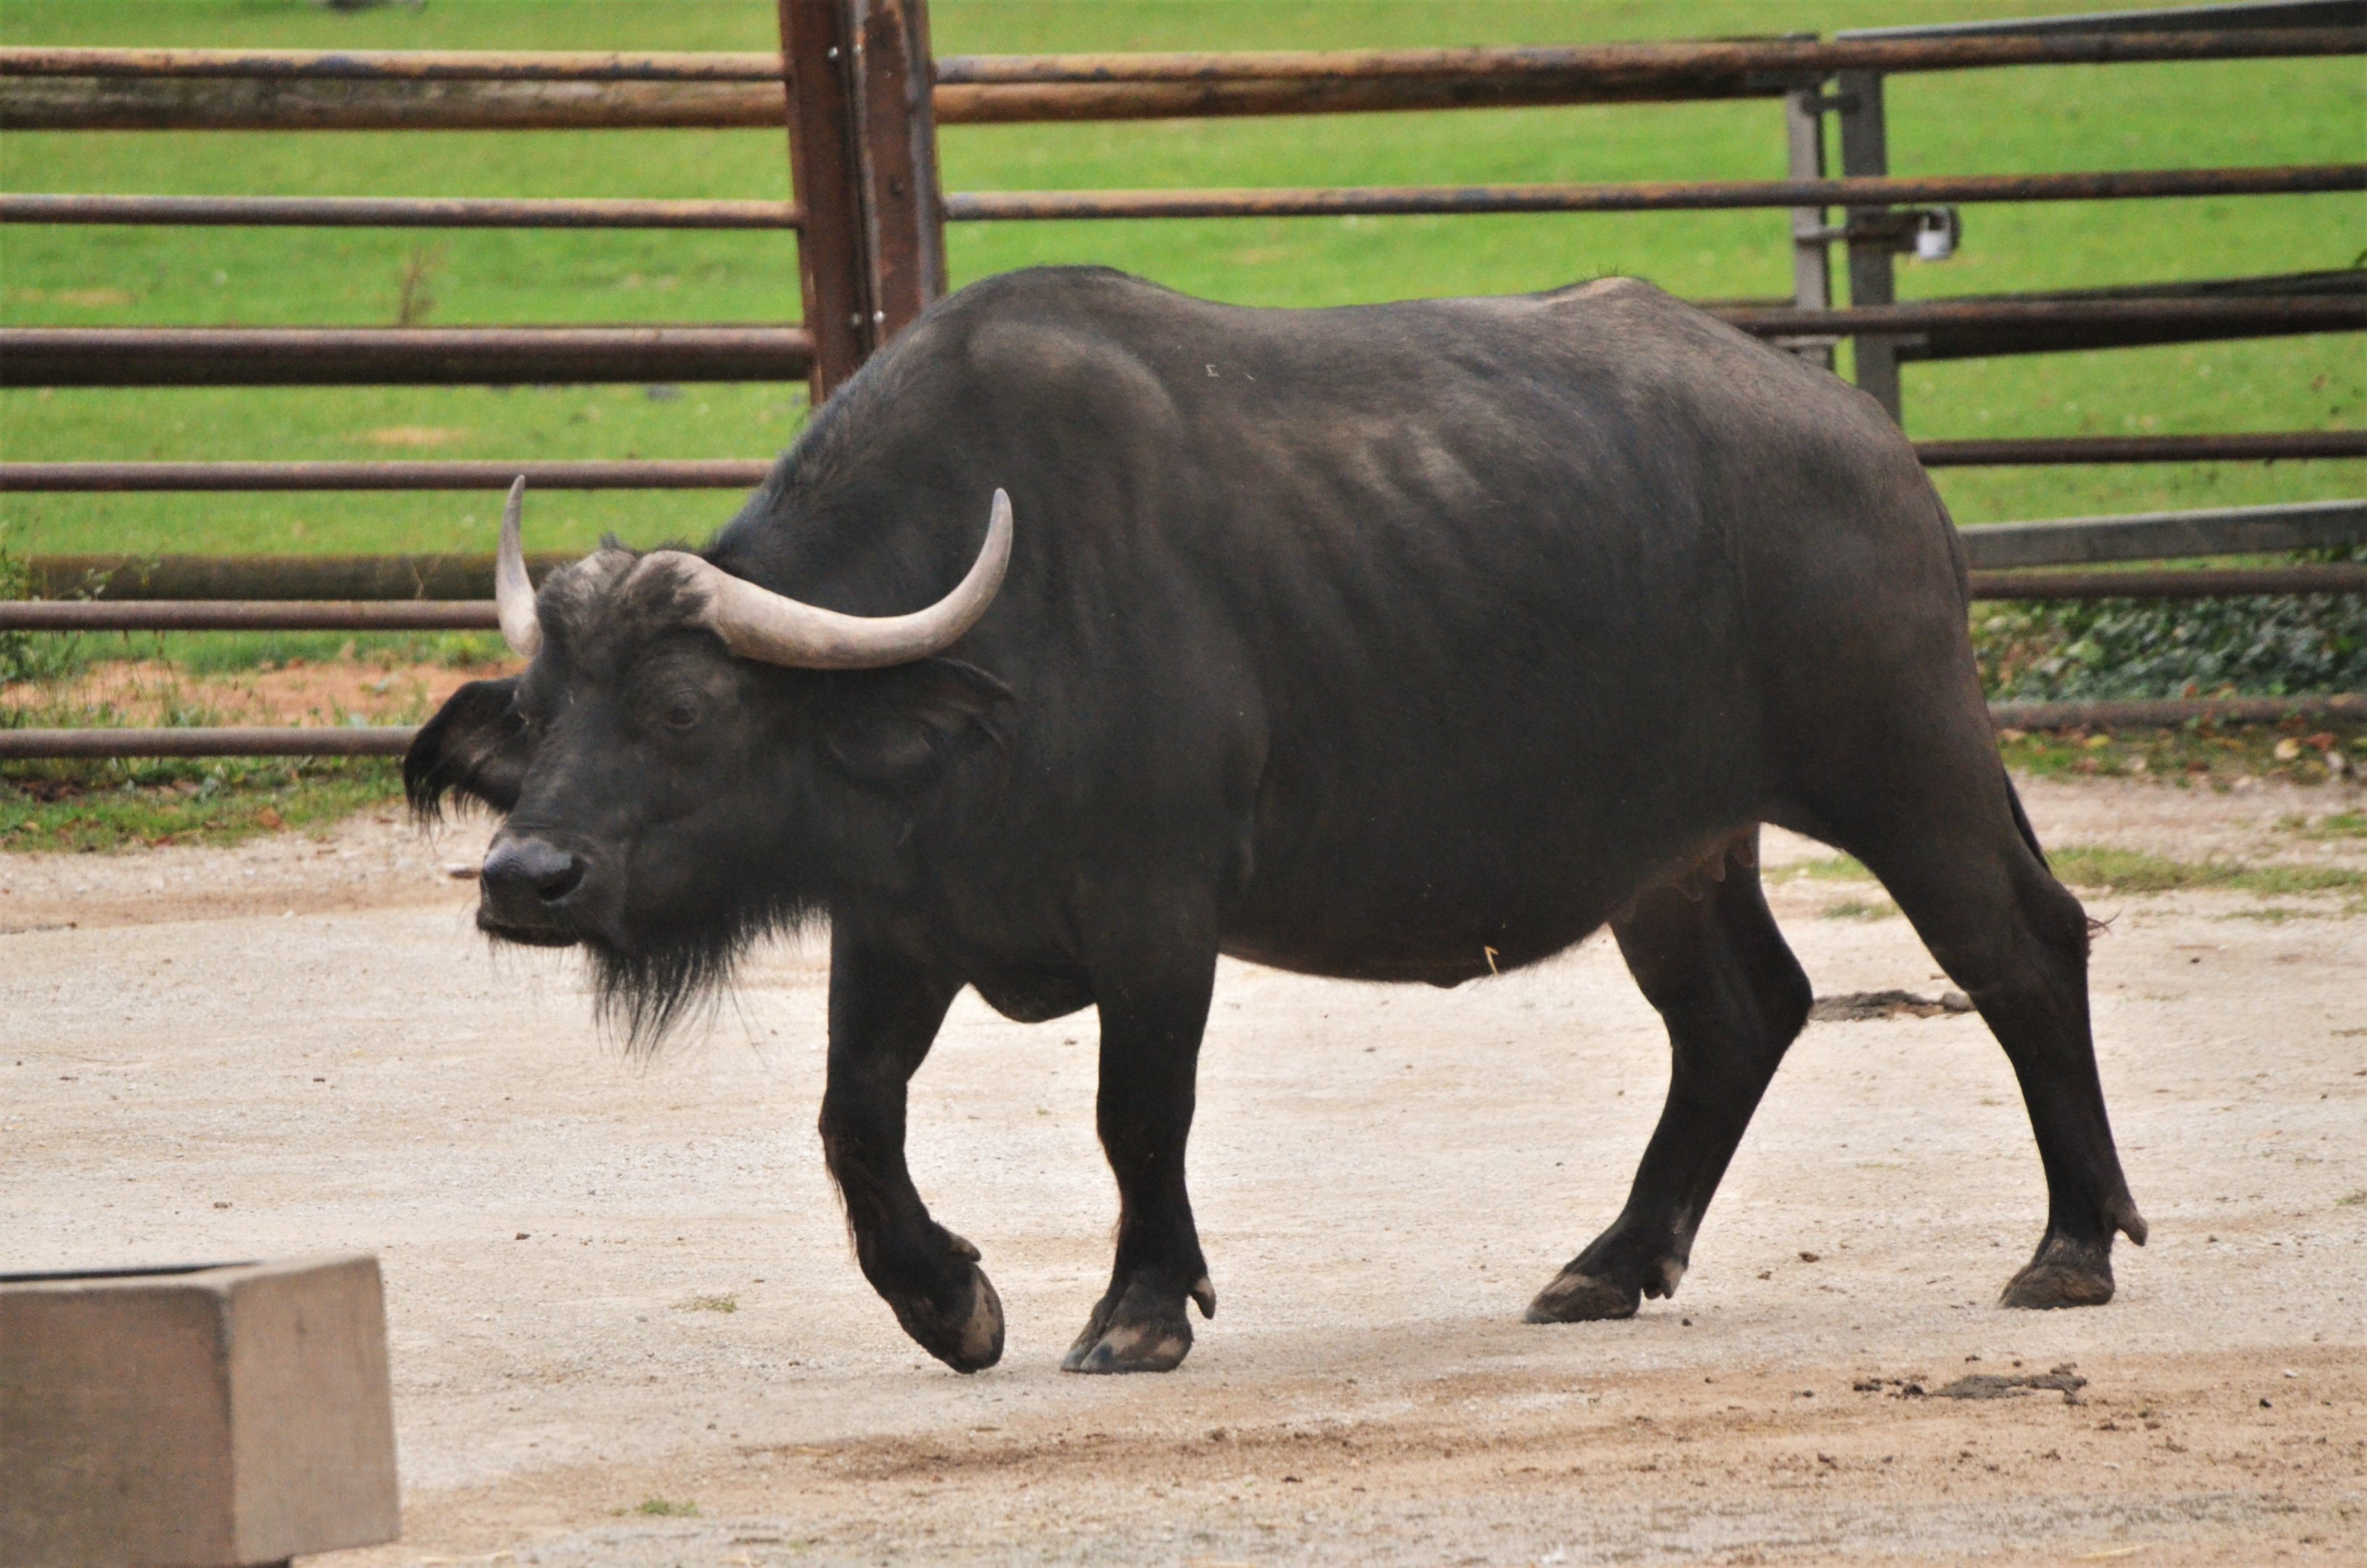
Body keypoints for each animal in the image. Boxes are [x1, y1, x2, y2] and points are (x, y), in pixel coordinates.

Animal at [407, 267, 2145, 1374]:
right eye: (543, 712)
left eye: (684, 711)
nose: (525, 877)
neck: (1007, 643)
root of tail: (1874, 451)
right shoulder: (900, 919)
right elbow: (853, 1118)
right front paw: (946, 1303)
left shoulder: (1157, 914)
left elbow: (1136, 1114)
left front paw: (1136, 1311)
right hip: (1670, 850)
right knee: (1740, 1014)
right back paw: (1605, 1263)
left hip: (1902, 763)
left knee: (2021, 947)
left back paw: (2071, 1244)